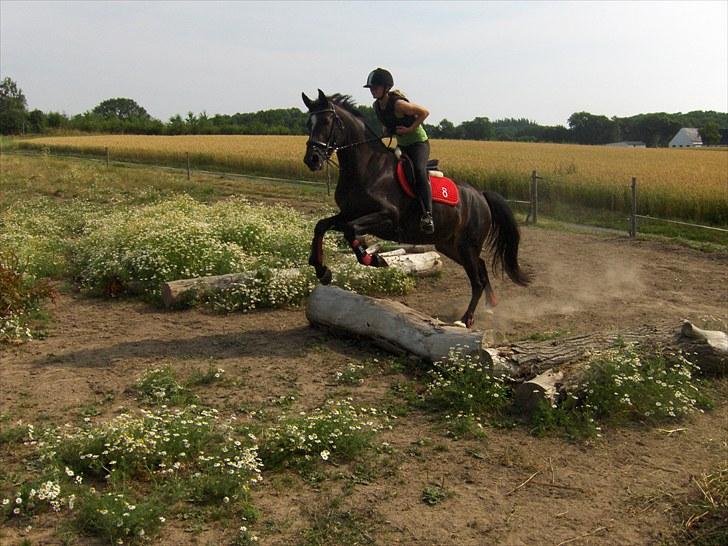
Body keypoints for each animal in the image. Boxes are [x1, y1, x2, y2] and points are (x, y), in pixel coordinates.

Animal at [302, 90, 528, 328]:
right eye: (309, 123)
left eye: (326, 122)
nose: (312, 159)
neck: (368, 167)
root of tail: (481, 196)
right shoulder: (348, 213)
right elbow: (322, 226)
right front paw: (322, 270)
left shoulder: (387, 218)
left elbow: (350, 230)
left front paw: (375, 260)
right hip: (450, 244)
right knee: (482, 268)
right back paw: (490, 305)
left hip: (467, 245)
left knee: (477, 280)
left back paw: (466, 319)